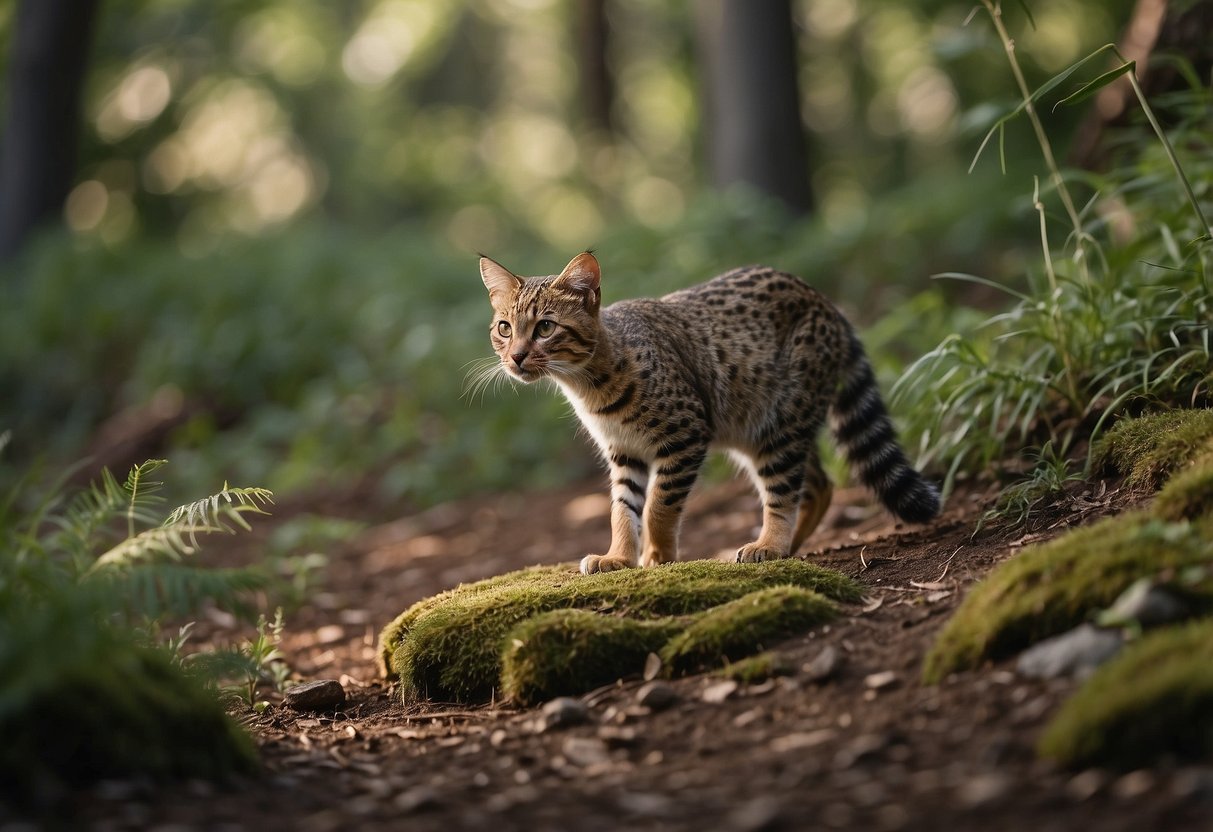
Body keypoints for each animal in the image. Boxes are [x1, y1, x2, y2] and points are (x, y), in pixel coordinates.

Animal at [473, 254, 936, 577]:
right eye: (504, 328)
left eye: (545, 327)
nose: (515, 358)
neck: (589, 387)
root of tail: (825, 301)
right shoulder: (625, 454)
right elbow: (621, 510)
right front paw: (619, 557)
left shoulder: (685, 434)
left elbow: (658, 506)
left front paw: (658, 555)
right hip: (758, 430)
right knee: (819, 485)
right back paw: (787, 547)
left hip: (780, 425)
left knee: (787, 489)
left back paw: (769, 545)